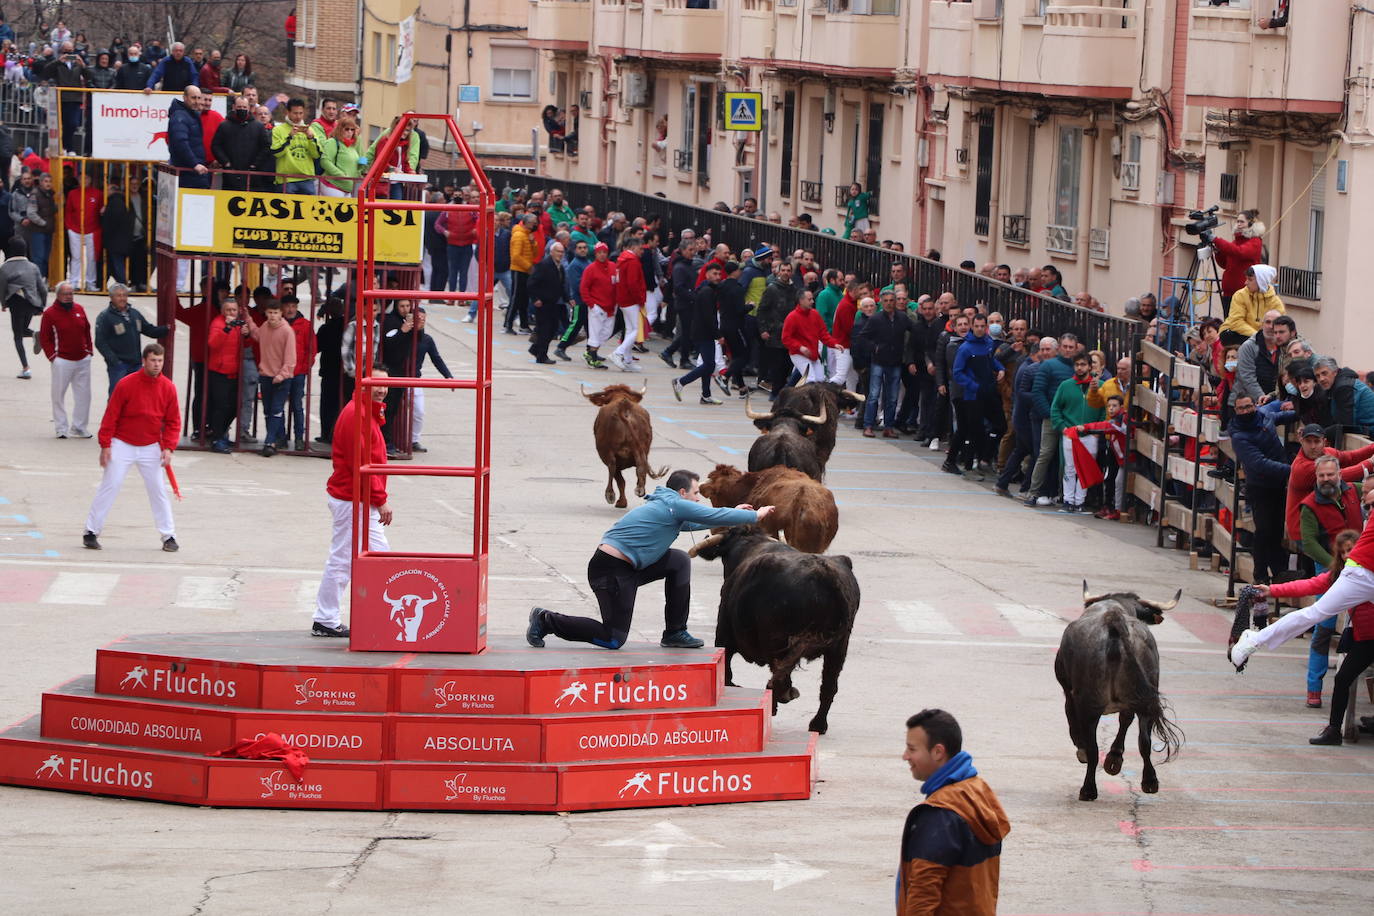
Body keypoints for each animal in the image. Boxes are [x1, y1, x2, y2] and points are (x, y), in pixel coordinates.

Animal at [579, 379, 670, 508]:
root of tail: (623, 405)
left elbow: (619, 479)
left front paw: (621, 502)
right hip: (640, 449)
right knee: (640, 466)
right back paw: (640, 489)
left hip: (608, 452)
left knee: (613, 467)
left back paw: (610, 494)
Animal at [687, 527, 857, 736]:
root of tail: (825, 576)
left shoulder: (724, 636)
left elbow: (726, 673)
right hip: (839, 647)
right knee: (828, 685)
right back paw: (817, 724)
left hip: (778, 639)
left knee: (780, 677)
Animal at [1055, 587, 1187, 802]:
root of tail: (1114, 621)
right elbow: (1126, 721)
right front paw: (1114, 759)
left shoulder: (1069, 693)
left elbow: (1074, 725)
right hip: (1144, 699)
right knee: (1144, 741)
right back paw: (1150, 781)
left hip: (1089, 702)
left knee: (1093, 749)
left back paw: (1088, 789)